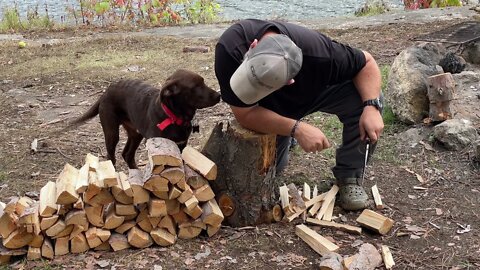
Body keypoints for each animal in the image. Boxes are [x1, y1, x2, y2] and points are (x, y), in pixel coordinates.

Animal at [67, 68, 221, 168]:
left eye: (203, 82)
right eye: (196, 86)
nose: (219, 95)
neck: (174, 116)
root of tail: (106, 91)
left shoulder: (181, 146)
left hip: (136, 133)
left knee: (127, 155)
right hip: (112, 132)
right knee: (112, 157)